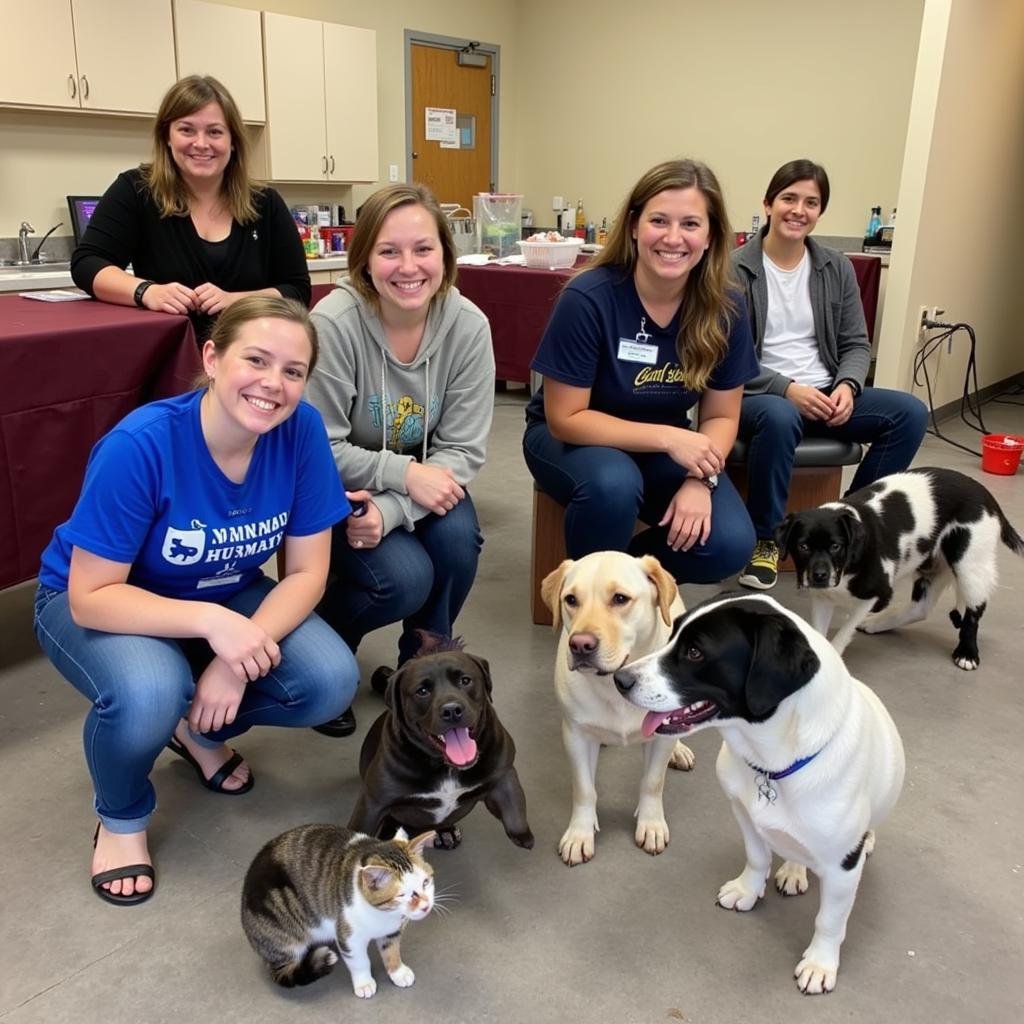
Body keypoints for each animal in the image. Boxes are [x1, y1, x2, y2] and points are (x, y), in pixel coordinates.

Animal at [242, 823, 436, 999]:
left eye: (425, 882)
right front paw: (364, 983)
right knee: (284, 969)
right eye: (402, 895)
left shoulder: (392, 930)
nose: (426, 905)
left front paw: (398, 972)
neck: (382, 914)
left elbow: (391, 950)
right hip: (283, 925)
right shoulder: (348, 935)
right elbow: (359, 961)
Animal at [536, 552, 696, 864]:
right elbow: (584, 789)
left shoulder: (658, 741)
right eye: (571, 599)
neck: (616, 683)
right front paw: (580, 833)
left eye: (620, 598)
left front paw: (651, 824)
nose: (580, 645)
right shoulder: (575, 736)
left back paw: (679, 749)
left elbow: (652, 782)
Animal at [610, 593, 901, 991]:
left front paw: (820, 963)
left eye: (695, 652)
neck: (775, 764)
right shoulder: (744, 815)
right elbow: (757, 858)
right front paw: (748, 890)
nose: (619, 679)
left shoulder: (842, 867)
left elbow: (829, 920)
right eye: (672, 634)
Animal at [778, 466, 1019, 671]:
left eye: (836, 546)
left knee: (973, 612)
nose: (819, 576)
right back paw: (878, 624)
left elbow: (845, 631)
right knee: (920, 608)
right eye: (803, 546)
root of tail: (987, 497)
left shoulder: (877, 594)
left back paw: (967, 653)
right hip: (931, 569)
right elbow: (819, 632)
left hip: (970, 567)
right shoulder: (823, 598)